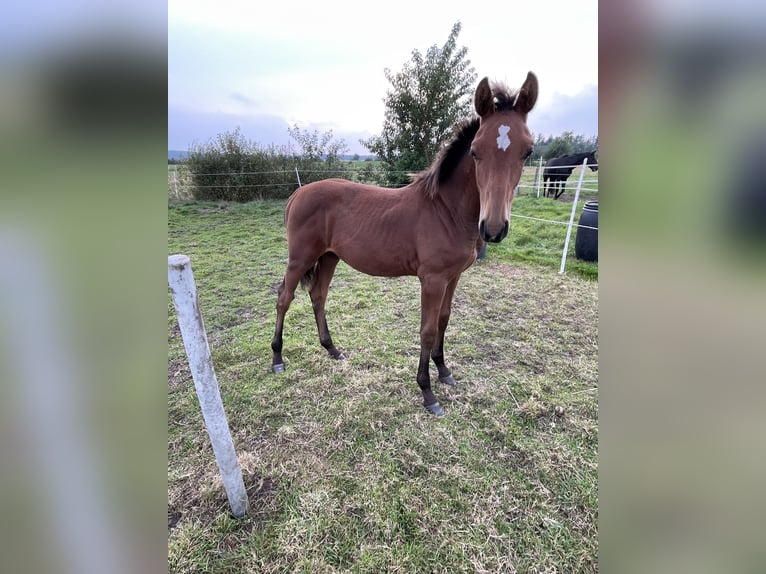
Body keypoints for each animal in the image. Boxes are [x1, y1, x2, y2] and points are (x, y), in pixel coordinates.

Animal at [270, 73, 540, 418]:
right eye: (476, 151)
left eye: (527, 151)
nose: (493, 228)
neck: (446, 210)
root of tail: (298, 193)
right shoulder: (432, 279)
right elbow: (427, 329)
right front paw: (427, 392)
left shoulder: (453, 276)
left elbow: (443, 320)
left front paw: (444, 371)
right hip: (300, 257)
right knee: (284, 298)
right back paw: (277, 358)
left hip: (329, 257)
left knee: (318, 295)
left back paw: (332, 349)